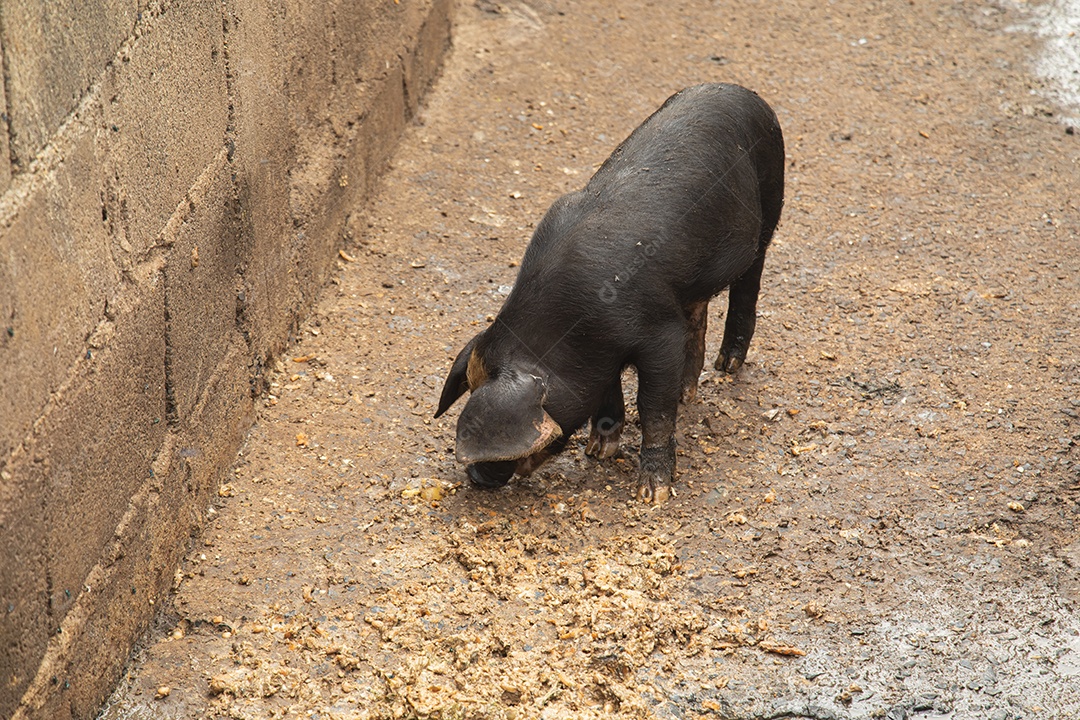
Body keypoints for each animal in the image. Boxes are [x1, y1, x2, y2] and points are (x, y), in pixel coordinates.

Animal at [434, 83, 785, 503]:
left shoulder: (659, 333)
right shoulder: (603, 352)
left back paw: (727, 366)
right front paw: (598, 452)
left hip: (771, 197)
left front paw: (652, 495)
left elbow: (653, 407)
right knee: (699, 313)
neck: (573, 332)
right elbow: (606, 388)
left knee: (748, 285)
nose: (477, 477)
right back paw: (687, 393)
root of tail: (741, 91)